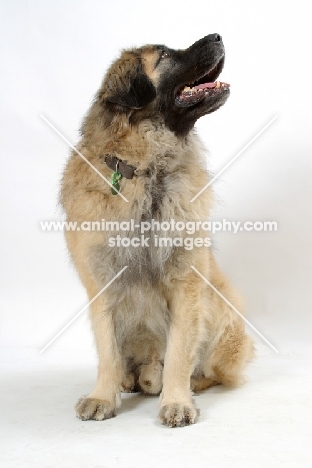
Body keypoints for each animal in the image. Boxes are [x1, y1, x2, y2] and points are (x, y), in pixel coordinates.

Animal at [60, 33, 254, 428]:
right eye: (164, 56)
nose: (218, 36)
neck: (147, 169)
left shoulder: (187, 282)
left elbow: (180, 352)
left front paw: (177, 401)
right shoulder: (101, 282)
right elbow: (107, 350)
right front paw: (102, 396)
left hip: (225, 323)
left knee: (212, 371)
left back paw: (182, 383)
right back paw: (129, 379)